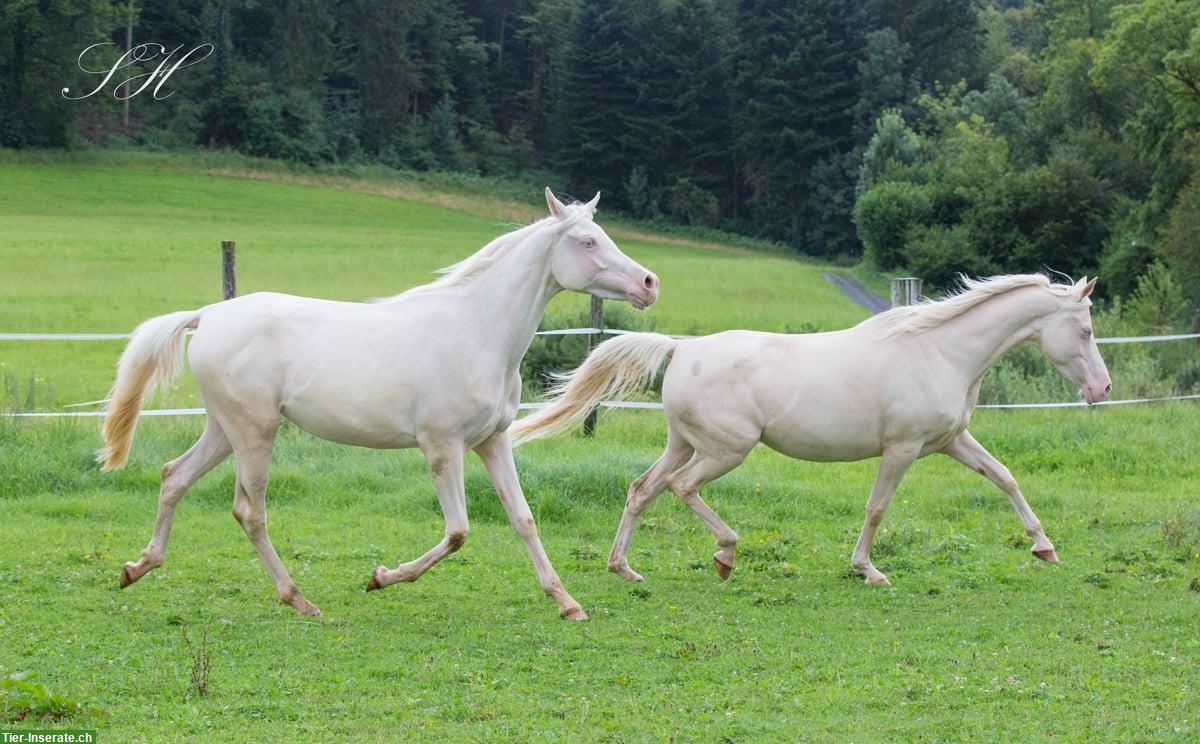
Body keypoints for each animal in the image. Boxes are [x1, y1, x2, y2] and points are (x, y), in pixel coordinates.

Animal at [98, 188, 662, 619]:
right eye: (588, 241)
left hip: (224, 429)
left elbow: (523, 519)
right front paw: (380, 577)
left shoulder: (493, 442)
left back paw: (136, 568)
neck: (476, 333)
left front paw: (568, 603)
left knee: (174, 477)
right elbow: (458, 531)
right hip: (254, 432)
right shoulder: (442, 447)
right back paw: (299, 600)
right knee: (248, 510)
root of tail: (208, 315)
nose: (649, 283)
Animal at [511, 273, 1108, 588]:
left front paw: (1044, 547)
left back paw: (624, 568)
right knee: (682, 488)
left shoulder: (950, 442)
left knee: (642, 488)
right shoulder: (902, 449)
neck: (939, 351)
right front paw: (868, 570)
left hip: (684, 444)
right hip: (726, 450)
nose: (1101, 389)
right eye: (1083, 330)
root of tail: (682, 349)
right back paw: (725, 554)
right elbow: (877, 508)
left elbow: (1004, 477)